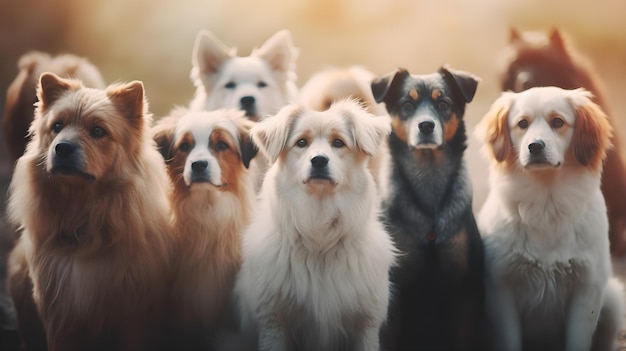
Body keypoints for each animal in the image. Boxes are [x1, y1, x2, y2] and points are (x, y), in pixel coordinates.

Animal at [476, 86, 620, 351]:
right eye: (522, 123)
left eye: (558, 122)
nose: (535, 146)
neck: (546, 205)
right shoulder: (501, 288)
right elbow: (510, 341)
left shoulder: (587, 289)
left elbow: (577, 342)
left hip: (614, 301)